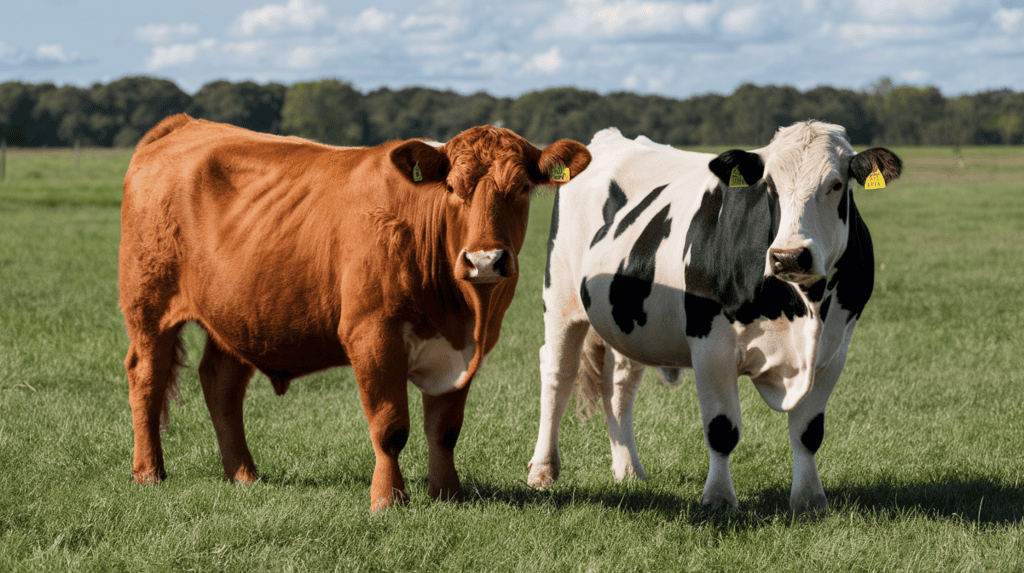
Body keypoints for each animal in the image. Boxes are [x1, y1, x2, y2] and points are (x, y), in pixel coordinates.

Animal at [120, 114, 591, 512]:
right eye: (453, 188)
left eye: (521, 189)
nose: (486, 261)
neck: (462, 312)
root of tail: (184, 124)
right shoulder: (372, 334)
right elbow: (390, 426)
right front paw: (387, 499)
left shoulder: (467, 351)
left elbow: (444, 430)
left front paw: (448, 493)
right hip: (148, 305)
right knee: (147, 376)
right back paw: (148, 472)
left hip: (238, 314)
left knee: (221, 383)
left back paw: (243, 475)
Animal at [526, 122, 901, 514]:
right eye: (770, 186)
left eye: (837, 184)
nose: (789, 256)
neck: (802, 307)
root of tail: (609, 137)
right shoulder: (711, 345)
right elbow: (722, 430)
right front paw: (718, 499)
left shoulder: (834, 350)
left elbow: (808, 432)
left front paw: (810, 500)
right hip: (561, 298)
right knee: (558, 373)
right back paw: (542, 471)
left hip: (627, 321)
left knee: (618, 385)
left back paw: (628, 470)